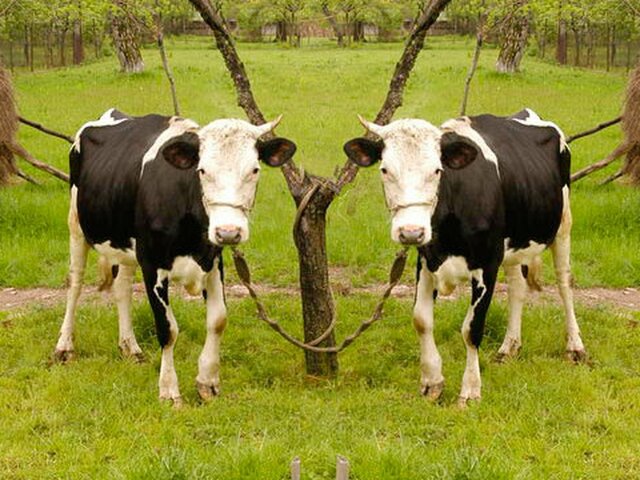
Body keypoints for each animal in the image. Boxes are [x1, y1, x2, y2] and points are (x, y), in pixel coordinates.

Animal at [54, 108, 296, 405]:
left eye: (255, 170)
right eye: (202, 170)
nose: (228, 232)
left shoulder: (213, 261)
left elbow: (218, 320)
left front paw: (208, 382)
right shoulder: (152, 264)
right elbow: (167, 329)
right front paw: (169, 390)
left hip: (125, 245)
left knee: (122, 288)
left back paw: (130, 347)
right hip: (76, 225)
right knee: (75, 284)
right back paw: (64, 347)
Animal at [343, 109, 586, 406]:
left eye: (437, 170)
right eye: (385, 170)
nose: (411, 232)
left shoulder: (487, 265)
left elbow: (471, 329)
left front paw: (470, 390)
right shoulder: (426, 261)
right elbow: (421, 320)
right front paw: (431, 382)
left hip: (563, 225)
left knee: (564, 283)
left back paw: (575, 346)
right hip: (514, 245)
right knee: (517, 288)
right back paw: (509, 347)